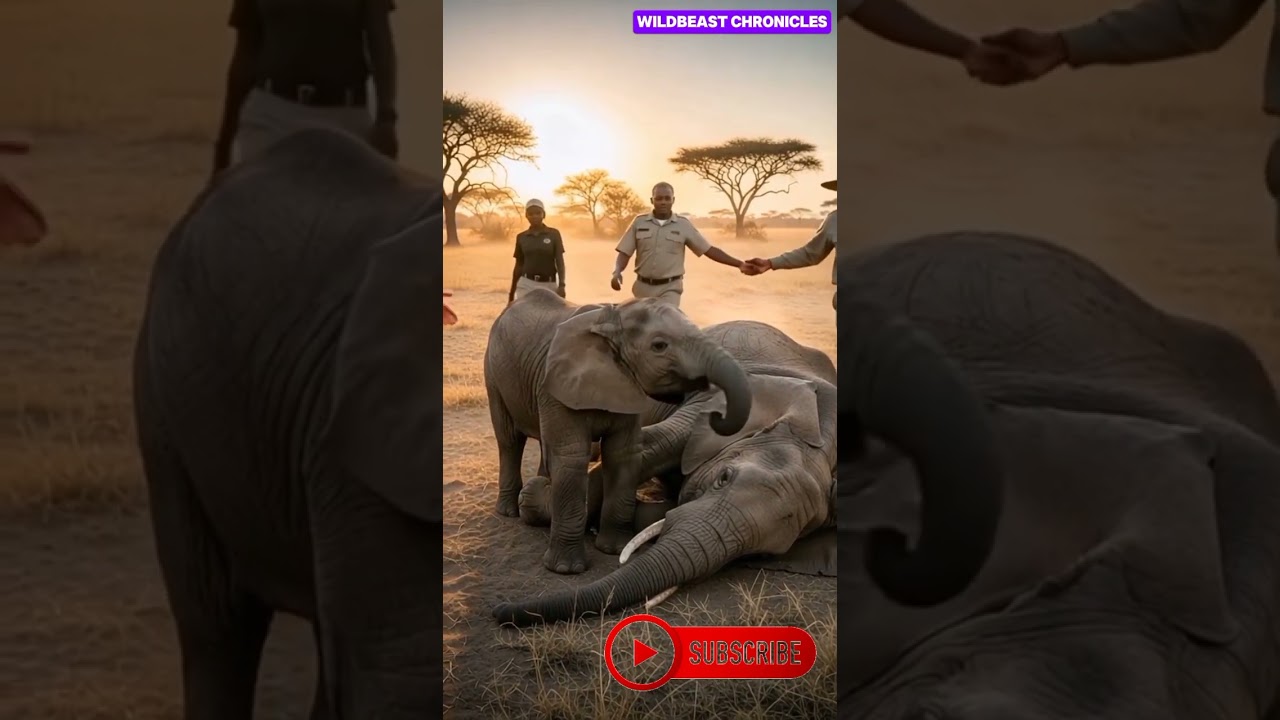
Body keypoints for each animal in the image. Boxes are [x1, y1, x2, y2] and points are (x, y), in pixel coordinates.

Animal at [483, 290, 753, 575]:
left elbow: (622, 454)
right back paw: (508, 511)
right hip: (492, 372)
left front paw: (612, 550)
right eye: (659, 346)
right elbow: (572, 457)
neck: (613, 319)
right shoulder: (556, 384)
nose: (717, 415)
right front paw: (566, 570)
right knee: (509, 440)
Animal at [495, 319, 841, 626]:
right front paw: (533, 504)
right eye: (723, 478)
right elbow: (649, 447)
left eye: (762, 555)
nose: (501, 613)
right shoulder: (715, 402)